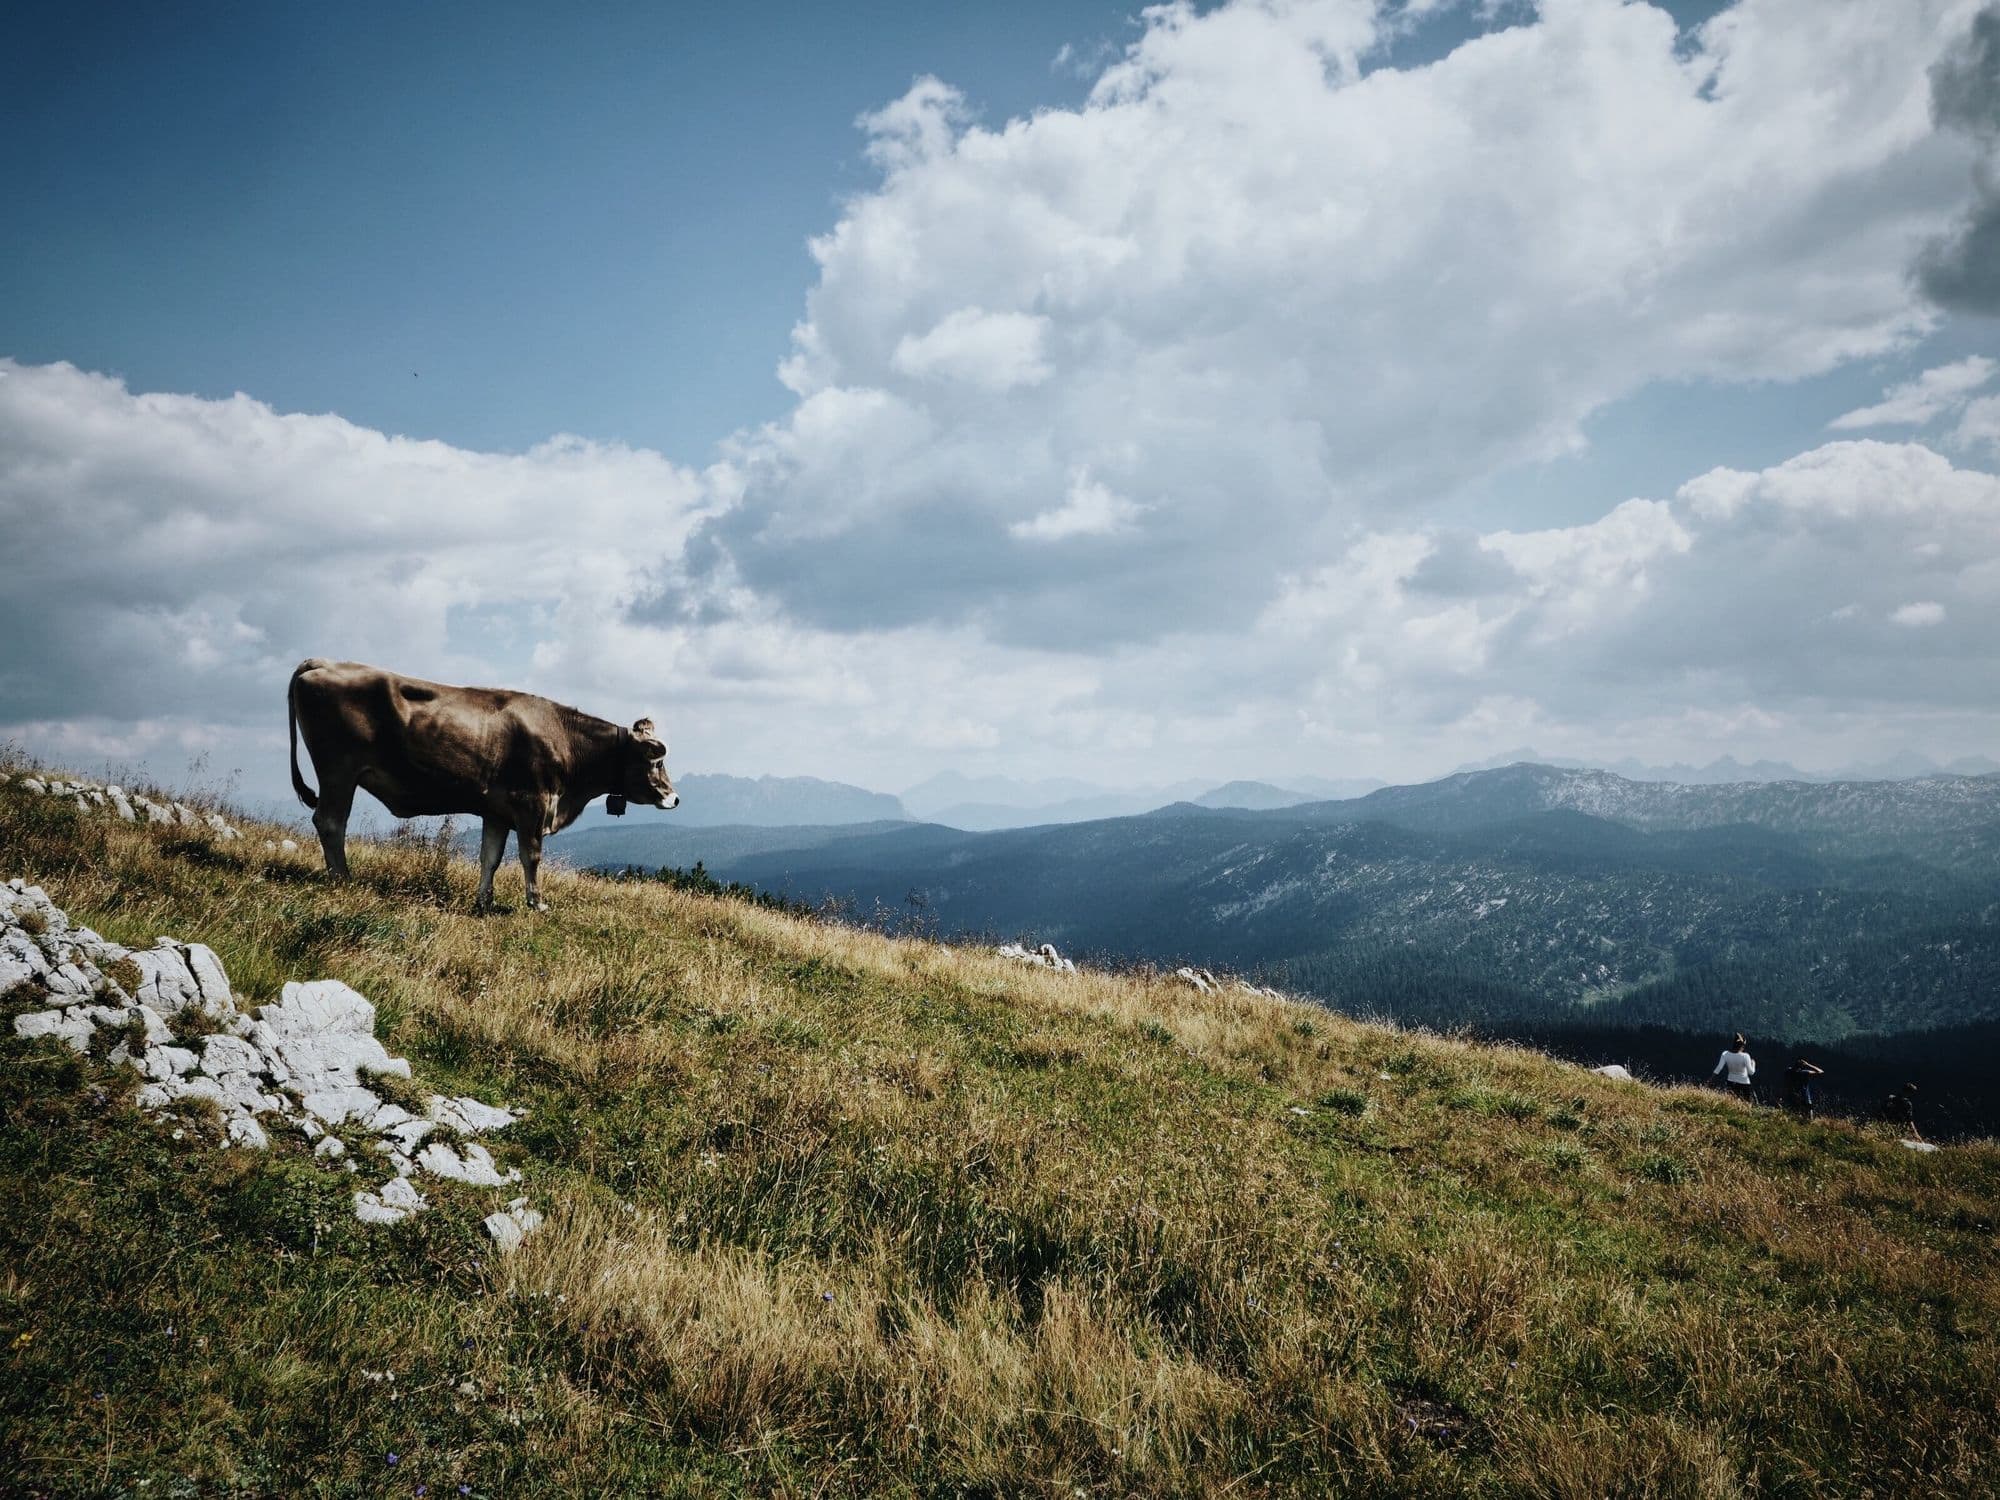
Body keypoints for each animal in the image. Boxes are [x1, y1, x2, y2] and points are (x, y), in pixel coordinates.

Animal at [287, 658, 678, 912]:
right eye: (657, 760)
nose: (674, 798)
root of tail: (323, 662)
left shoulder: (497, 812)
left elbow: (490, 858)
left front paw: (484, 901)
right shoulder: (532, 803)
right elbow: (530, 856)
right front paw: (537, 903)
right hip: (338, 770)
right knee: (331, 822)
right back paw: (343, 879)